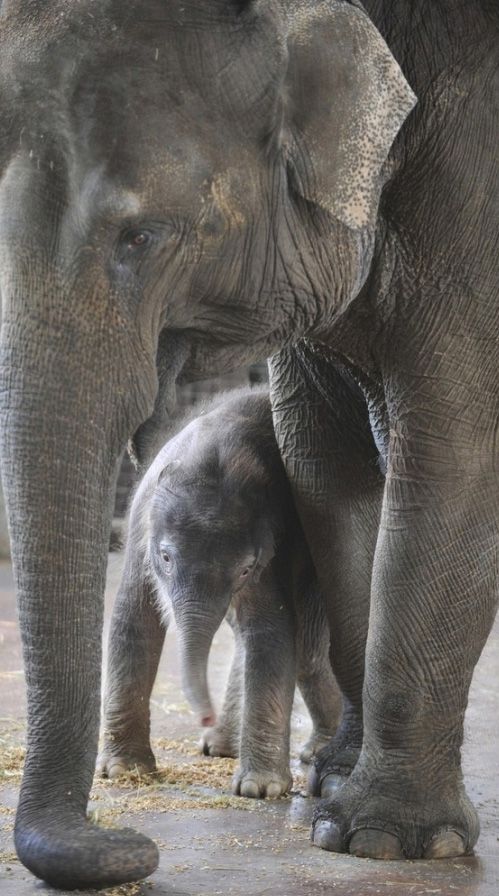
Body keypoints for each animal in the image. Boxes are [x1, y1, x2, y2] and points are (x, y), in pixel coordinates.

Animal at [100, 386, 340, 800]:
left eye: (245, 569)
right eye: (165, 557)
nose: (204, 714)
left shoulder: (279, 542)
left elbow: (271, 631)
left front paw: (259, 790)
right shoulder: (139, 525)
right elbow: (134, 621)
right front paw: (123, 771)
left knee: (308, 648)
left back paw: (318, 750)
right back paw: (221, 746)